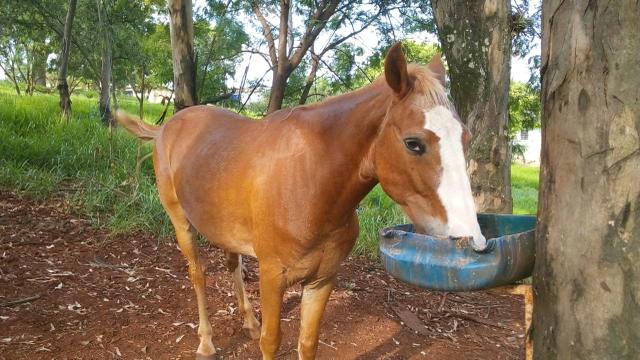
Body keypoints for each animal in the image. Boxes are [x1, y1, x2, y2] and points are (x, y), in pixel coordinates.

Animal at [115, 43, 484, 358]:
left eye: (466, 138)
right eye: (413, 143)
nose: (472, 238)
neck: (311, 182)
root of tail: (165, 128)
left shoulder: (322, 281)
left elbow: (307, 343)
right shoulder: (272, 277)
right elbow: (271, 341)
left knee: (232, 264)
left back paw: (248, 321)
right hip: (182, 224)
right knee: (198, 275)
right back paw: (206, 342)